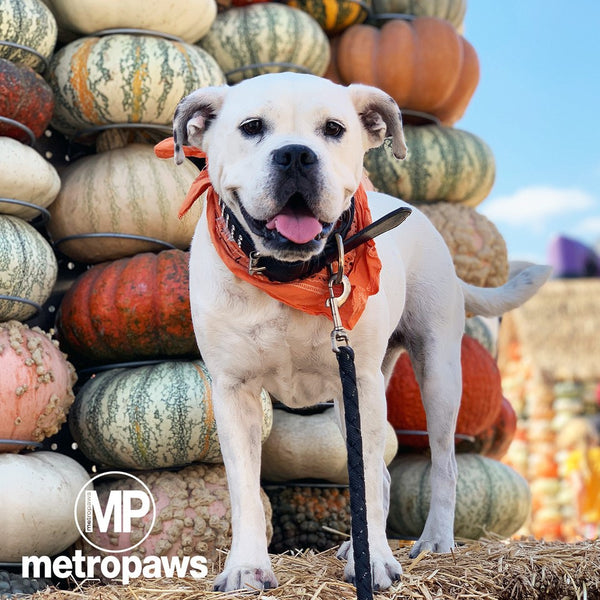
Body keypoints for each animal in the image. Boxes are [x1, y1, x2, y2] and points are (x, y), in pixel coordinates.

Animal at [171, 72, 552, 592]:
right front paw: (246, 568)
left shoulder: (365, 388)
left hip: (436, 374)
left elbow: (367, 477)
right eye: (251, 127)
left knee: (445, 463)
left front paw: (375, 564)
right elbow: (245, 488)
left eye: (333, 129)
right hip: (342, 399)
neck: (290, 276)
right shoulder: (235, 392)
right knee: (387, 476)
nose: (296, 155)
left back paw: (433, 541)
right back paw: (359, 545)